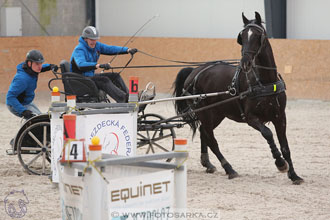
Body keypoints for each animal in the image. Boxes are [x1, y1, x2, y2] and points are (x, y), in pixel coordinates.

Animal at [173, 11, 304, 184]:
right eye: (242, 36)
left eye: (257, 35)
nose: (245, 62)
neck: (265, 81)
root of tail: (194, 72)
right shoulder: (250, 118)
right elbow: (267, 133)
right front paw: (280, 163)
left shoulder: (280, 117)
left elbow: (286, 147)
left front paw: (294, 175)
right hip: (205, 113)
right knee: (212, 140)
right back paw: (229, 169)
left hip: (216, 114)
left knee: (204, 132)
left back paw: (208, 164)